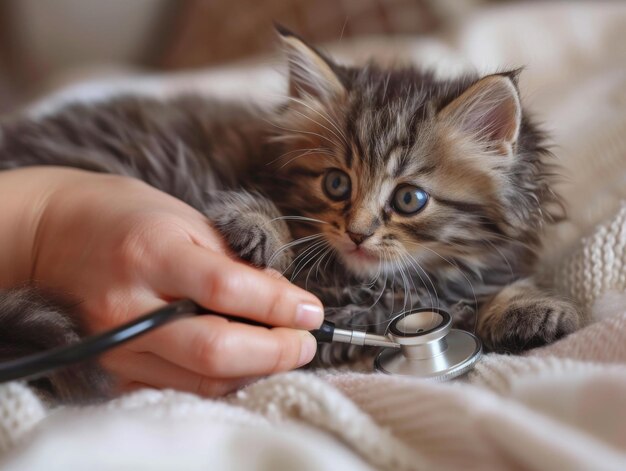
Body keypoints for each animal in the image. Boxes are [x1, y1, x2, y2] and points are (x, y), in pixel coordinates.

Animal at [0, 27, 580, 400]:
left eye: (409, 199)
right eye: (336, 183)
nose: (358, 234)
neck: (374, 286)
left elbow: (480, 296)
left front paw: (529, 308)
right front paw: (261, 229)